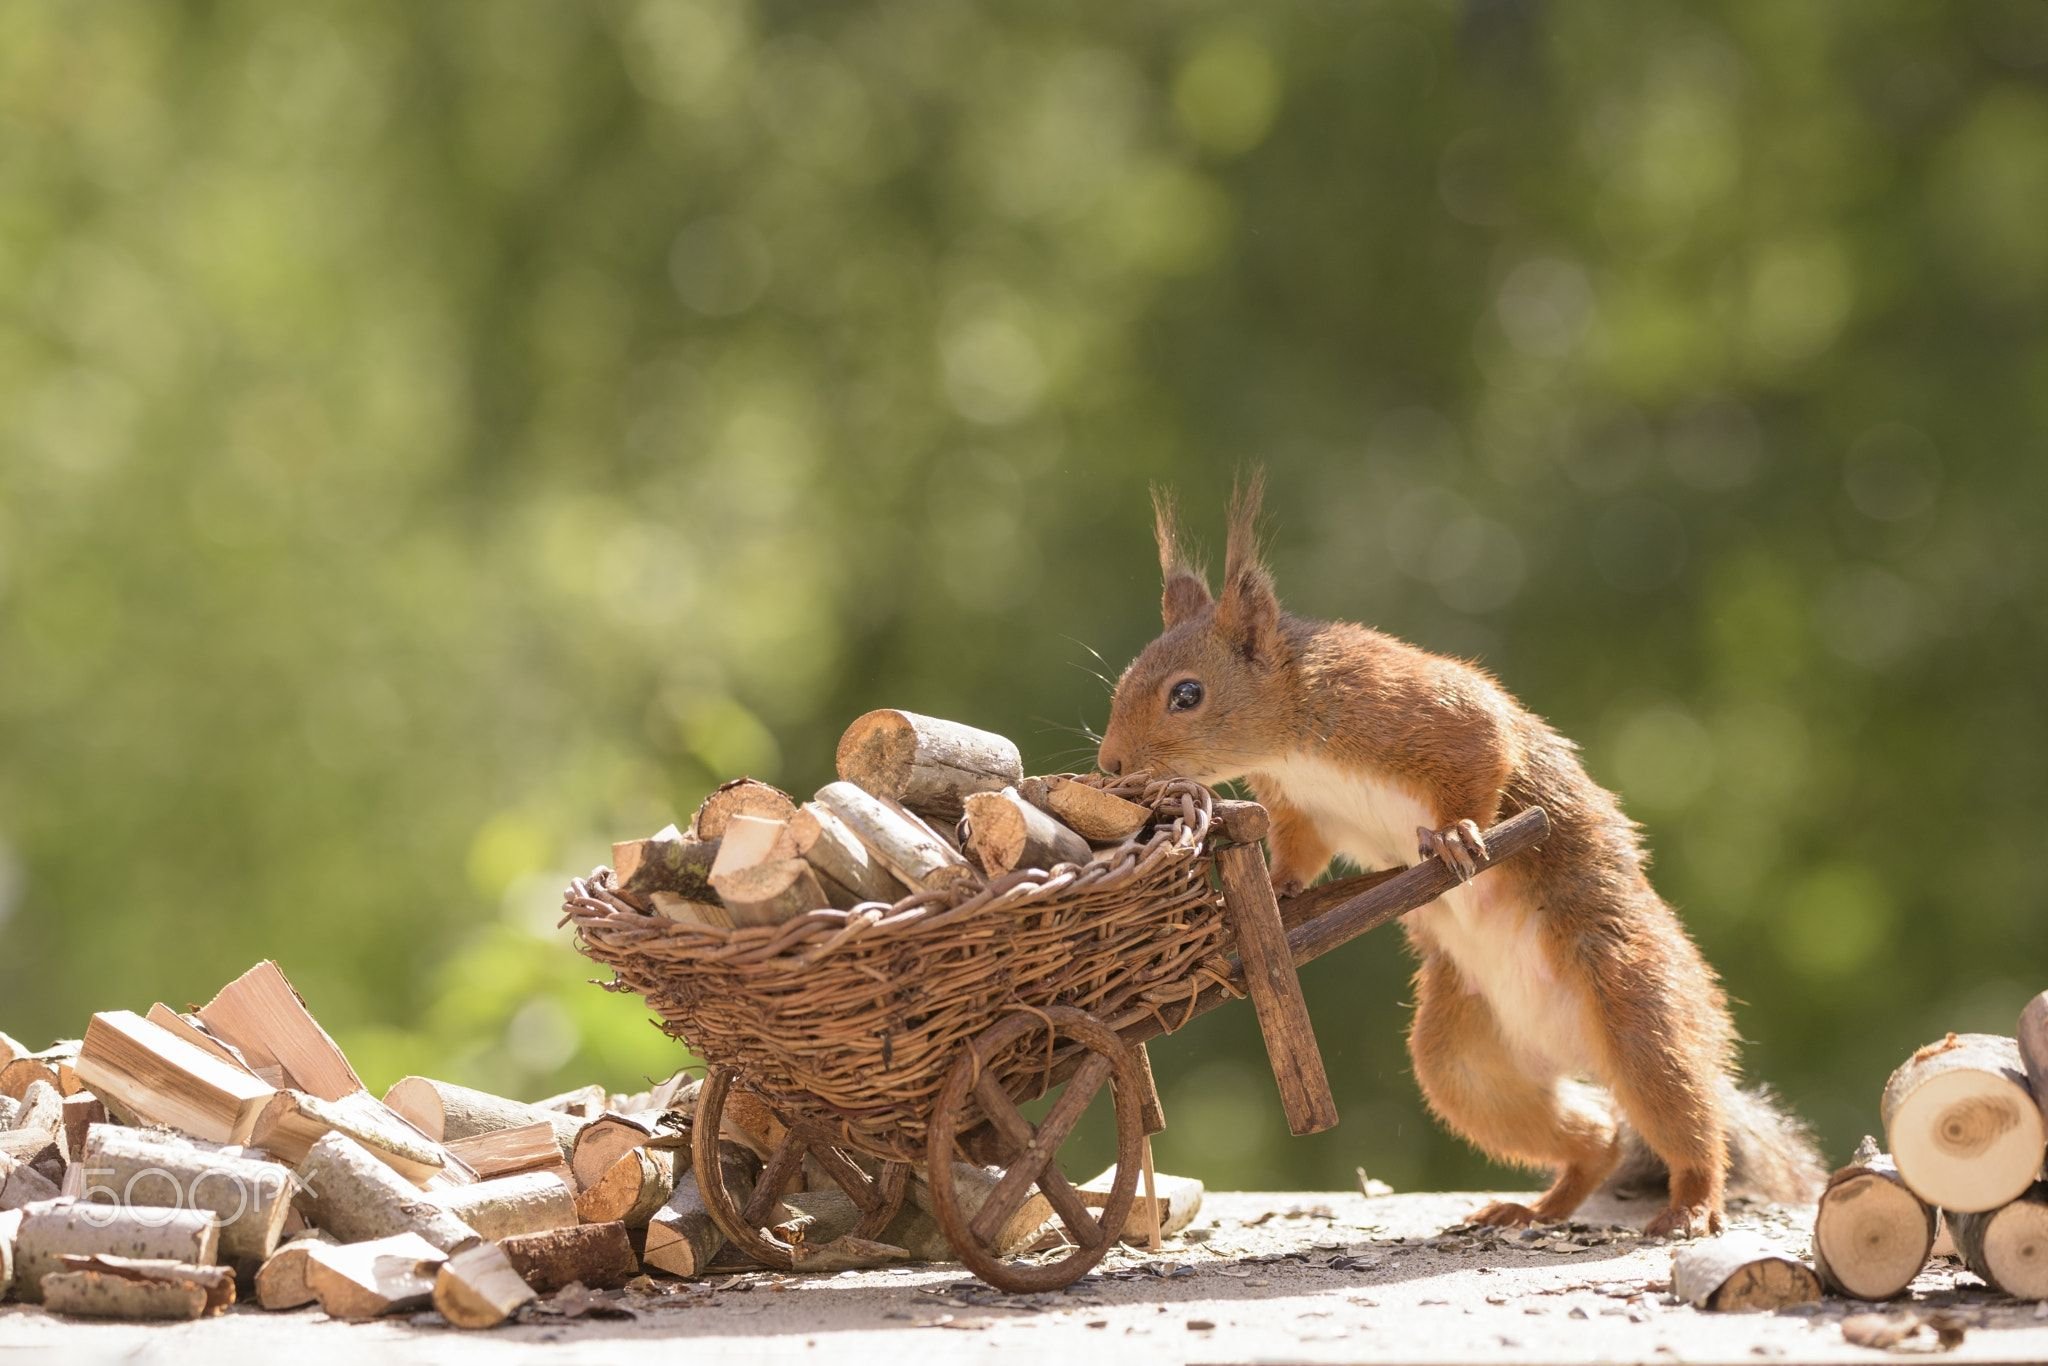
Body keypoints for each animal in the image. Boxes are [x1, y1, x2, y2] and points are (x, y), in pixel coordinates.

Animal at [1097, 479, 1818, 1236]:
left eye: (1187, 694)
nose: (1109, 764)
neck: (1291, 739)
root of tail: (1570, 1049)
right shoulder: (1299, 808)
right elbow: (1300, 851)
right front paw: (1281, 889)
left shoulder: (1412, 708)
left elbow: (1482, 747)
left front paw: (1454, 836)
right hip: (1466, 1067)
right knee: (1596, 1138)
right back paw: (1533, 1207)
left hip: (1635, 1006)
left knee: (1683, 1112)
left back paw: (1692, 1203)